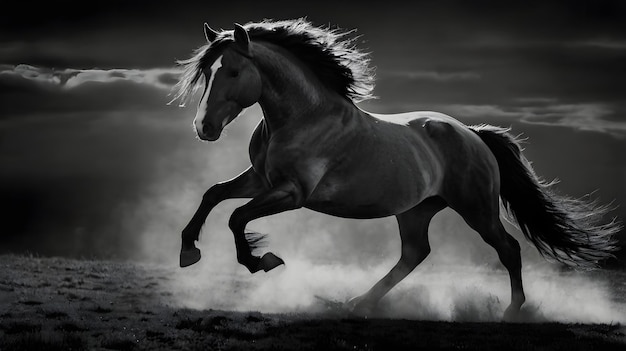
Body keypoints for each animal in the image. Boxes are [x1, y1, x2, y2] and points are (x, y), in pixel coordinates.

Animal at [171, 19, 620, 322]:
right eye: (207, 72)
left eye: (233, 71)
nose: (204, 129)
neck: (304, 117)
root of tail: (473, 134)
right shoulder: (260, 180)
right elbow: (214, 194)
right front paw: (189, 250)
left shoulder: (292, 193)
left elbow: (236, 217)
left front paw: (261, 261)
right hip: (416, 210)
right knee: (414, 254)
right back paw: (357, 304)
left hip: (477, 208)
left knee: (507, 249)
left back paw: (512, 312)